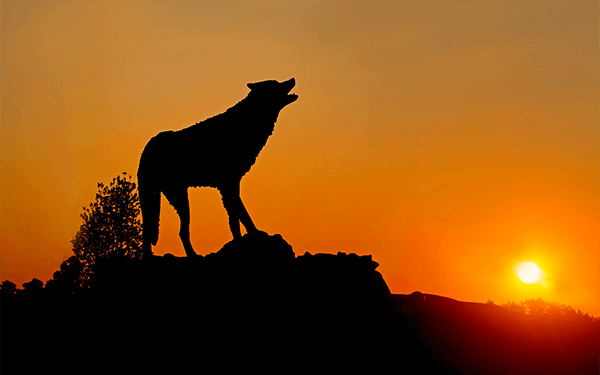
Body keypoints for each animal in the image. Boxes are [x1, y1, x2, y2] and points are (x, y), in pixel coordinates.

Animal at [138, 78, 298, 258]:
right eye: (276, 84)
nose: (292, 79)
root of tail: (148, 147)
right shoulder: (229, 185)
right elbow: (242, 216)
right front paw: (255, 235)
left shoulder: (229, 186)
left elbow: (235, 221)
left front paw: (240, 241)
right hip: (180, 199)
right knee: (179, 232)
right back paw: (192, 256)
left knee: (157, 232)